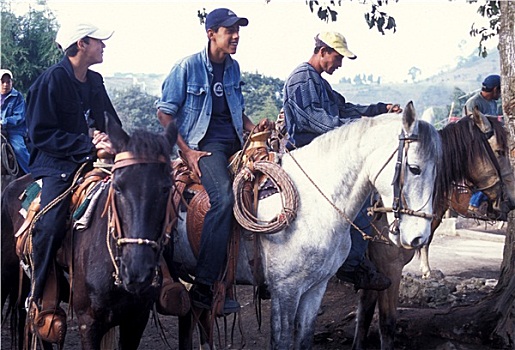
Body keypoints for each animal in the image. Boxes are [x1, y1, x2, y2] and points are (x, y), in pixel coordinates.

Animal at [172, 100, 440, 348]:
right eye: (414, 168)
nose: (419, 237)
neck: (312, 202)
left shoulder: (316, 287)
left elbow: (305, 337)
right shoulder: (285, 291)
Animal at [352, 109, 515, 350]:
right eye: (500, 151)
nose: (511, 200)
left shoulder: (374, 273)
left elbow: (363, 317)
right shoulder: (389, 266)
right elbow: (387, 323)